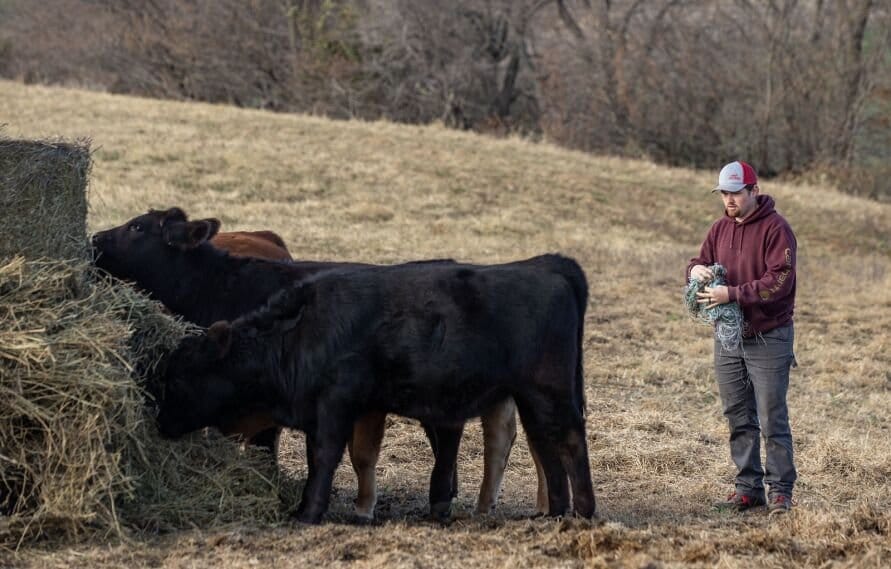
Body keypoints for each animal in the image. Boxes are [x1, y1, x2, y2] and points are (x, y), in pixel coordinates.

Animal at [157, 254, 596, 524]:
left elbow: (325, 457)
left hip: (551, 391)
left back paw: (584, 511)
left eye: (178, 377)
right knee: (545, 446)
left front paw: (308, 513)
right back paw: (555, 512)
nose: (159, 423)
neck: (300, 332)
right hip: (529, 397)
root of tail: (546, 266)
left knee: (570, 441)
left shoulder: (335, 404)